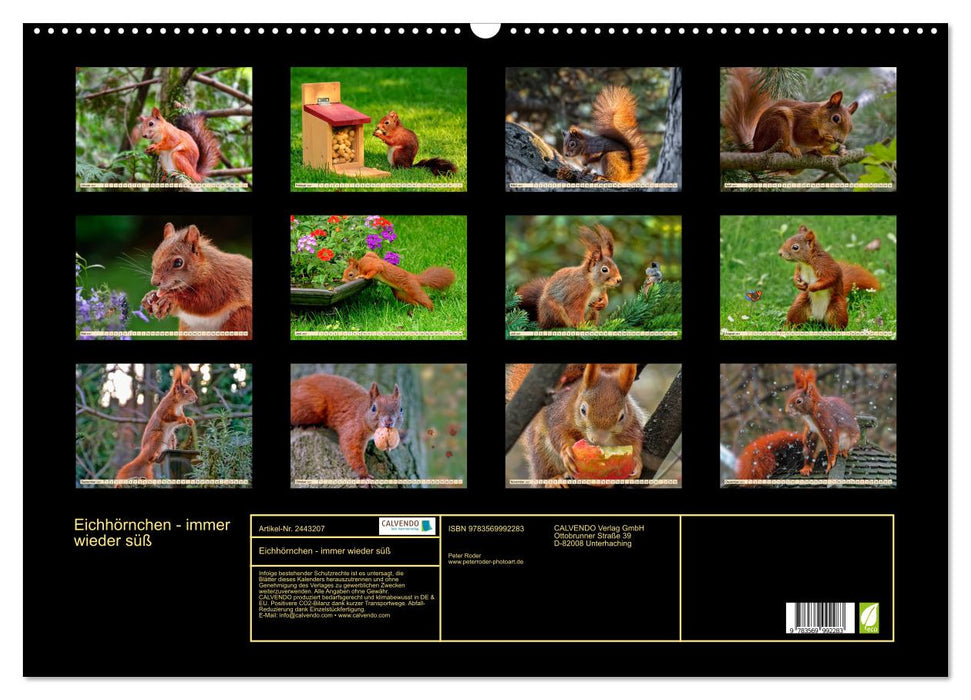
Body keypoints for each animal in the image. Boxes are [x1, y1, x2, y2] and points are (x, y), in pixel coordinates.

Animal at [506, 364, 645, 488]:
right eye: (583, 410)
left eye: (622, 416)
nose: (597, 439)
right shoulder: (558, 417)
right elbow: (558, 434)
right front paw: (567, 451)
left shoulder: (631, 426)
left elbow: (636, 442)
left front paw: (637, 463)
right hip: (541, 452)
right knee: (544, 470)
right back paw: (554, 480)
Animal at [722, 67, 859, 159]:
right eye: (836, 118)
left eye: (851, 127)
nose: (840, 140)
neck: (817, 115)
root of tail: (756, 148)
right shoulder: (804, 118)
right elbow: (802, 134)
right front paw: (825, 139)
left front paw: (840, 150)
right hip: (777, 124)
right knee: (776, 146)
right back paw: (789, 149)